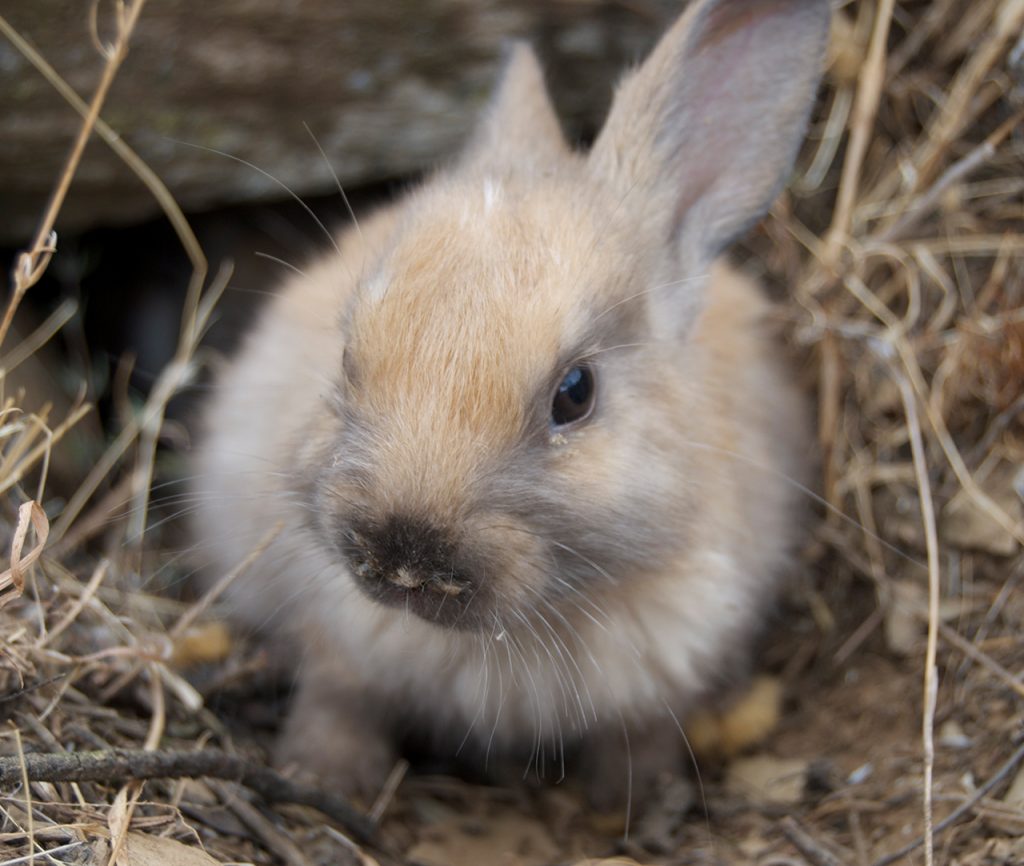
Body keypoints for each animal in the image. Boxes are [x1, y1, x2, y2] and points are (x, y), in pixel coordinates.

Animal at [193, 0, 831, 806]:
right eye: (346, 356)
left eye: (576, 393)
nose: (404, 549)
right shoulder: (336, 646)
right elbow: (338, 704)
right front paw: (323, 777)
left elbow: (643, 739)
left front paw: (645, 800)